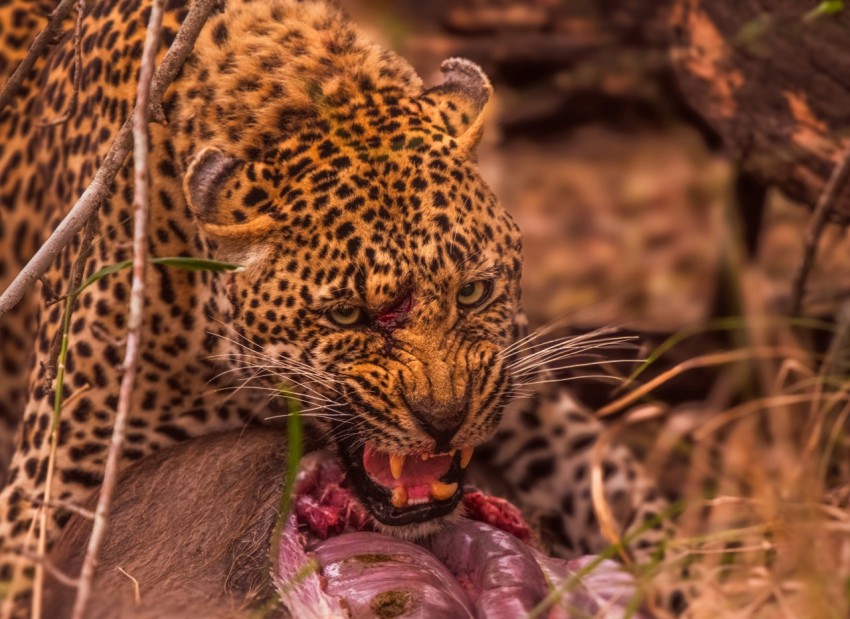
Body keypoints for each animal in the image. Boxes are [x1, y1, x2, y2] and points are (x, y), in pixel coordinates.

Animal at [0, 0, 684, 616]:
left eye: (473, 292)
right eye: (348, 316)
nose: (445, 421)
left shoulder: (524, 392)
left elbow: (636, 507)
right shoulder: (43, 489)